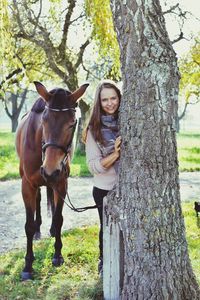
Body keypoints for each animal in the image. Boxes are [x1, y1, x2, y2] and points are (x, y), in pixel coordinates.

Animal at [16, 81, 89, 280]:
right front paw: (28, 265)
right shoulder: (27, 185)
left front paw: (57, 255)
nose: (50, 170)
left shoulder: (61, 183)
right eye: (44, 121)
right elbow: (28, 225)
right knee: (39, 200)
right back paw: (39, 230)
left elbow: (58, 218)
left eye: (72, 124)